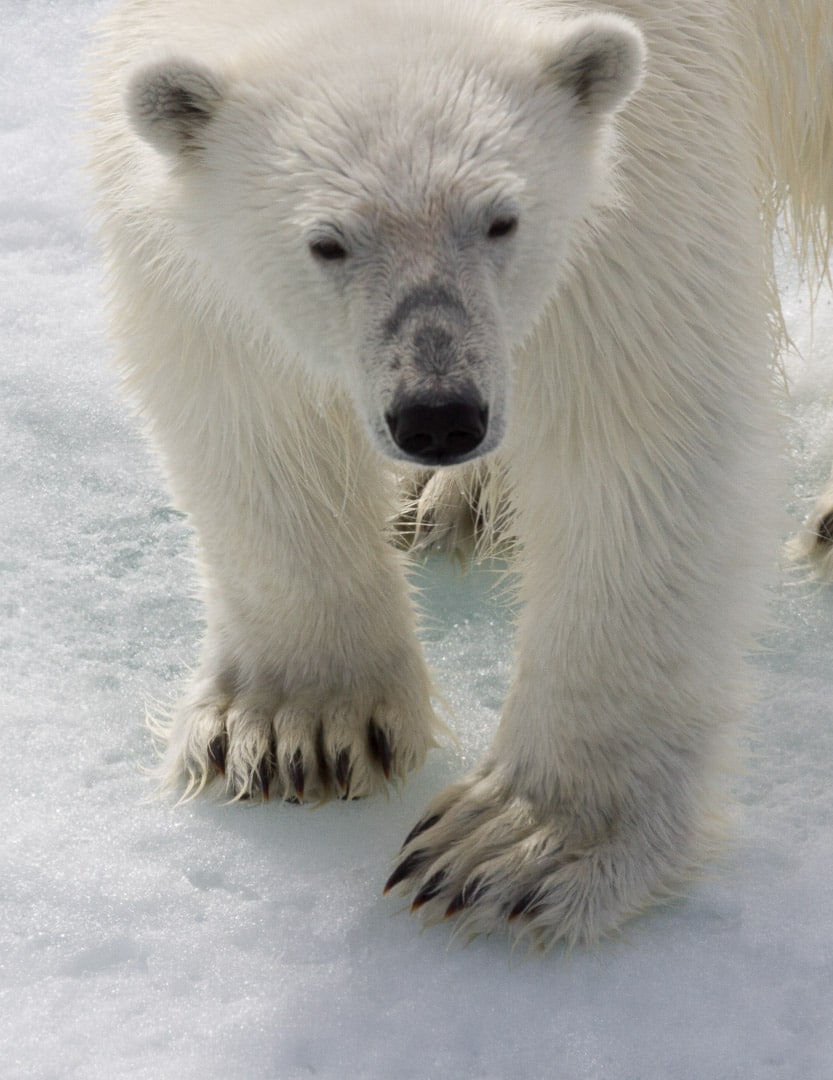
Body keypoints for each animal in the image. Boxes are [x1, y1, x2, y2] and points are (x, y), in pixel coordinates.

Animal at [88, 0, 833, 950]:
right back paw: (458, 500)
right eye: (326, 242)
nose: (438, 414)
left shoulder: (654, 148)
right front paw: (296, 729)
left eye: (501, 220)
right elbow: (242, 392)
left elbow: (637, 436)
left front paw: (515, 846)